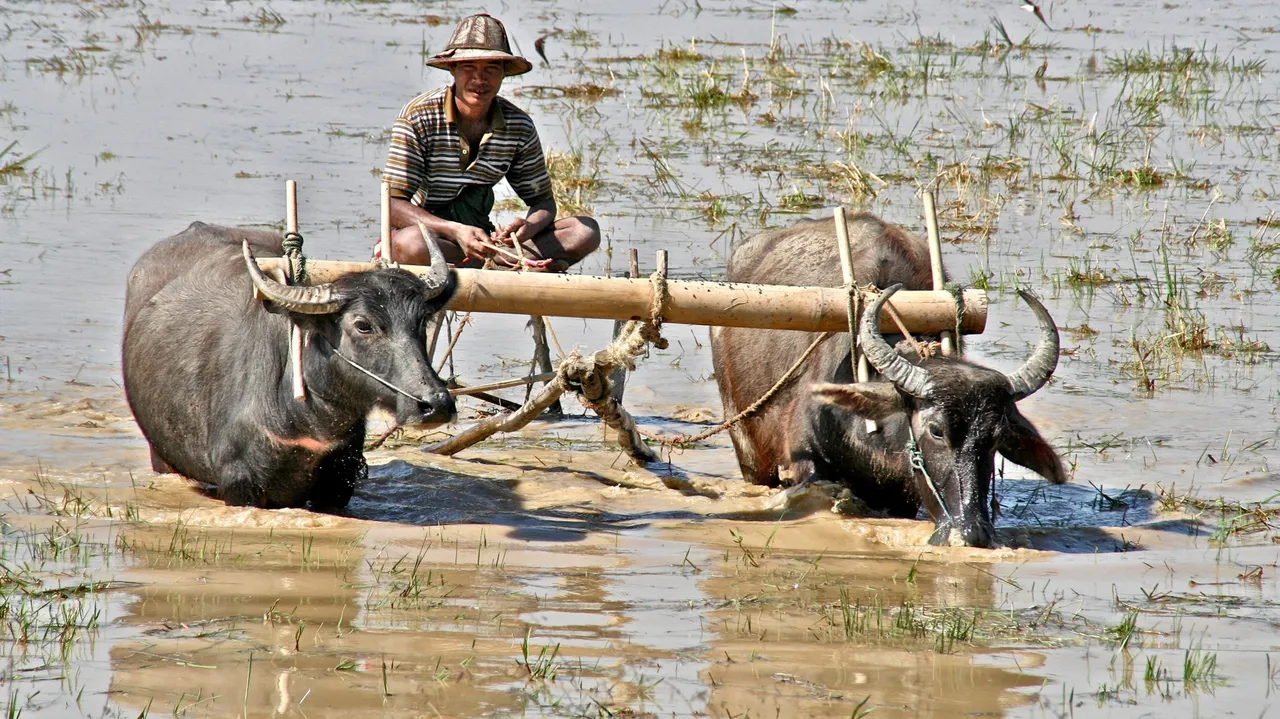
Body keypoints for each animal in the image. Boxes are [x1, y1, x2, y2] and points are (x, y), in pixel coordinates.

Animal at [120, 221, 460, 506]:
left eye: (422, 321)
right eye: (363, 325)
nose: (436, 404)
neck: (309, 417)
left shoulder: (339, 483)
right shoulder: (239, 484)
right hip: (161, 454)